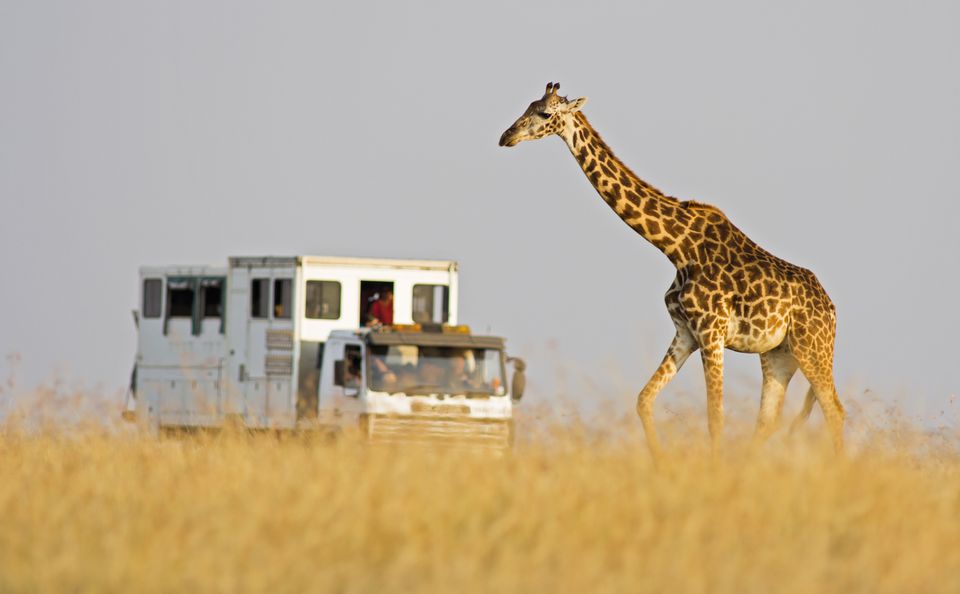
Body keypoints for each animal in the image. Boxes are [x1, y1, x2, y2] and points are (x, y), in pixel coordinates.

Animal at [498, 82, 844, 454]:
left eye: (545, 113)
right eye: (528, 106)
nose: (506, 136)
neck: (677, 248)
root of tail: (832, 310)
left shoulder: (711, 332)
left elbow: (714, 416)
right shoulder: (685, 333)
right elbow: (643, 399)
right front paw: (658, 459)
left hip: (812, 349)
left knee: (834, 410)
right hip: (778, 355)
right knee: (768, 420)